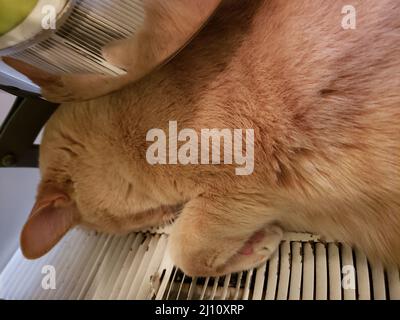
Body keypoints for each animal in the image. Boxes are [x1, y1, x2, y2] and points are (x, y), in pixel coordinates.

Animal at [14, 0, 400, 276]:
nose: (161, 217)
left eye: (127, 224)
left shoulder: (240, 181)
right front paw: (256, 242)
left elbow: (185, 250)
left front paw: (258, 242)